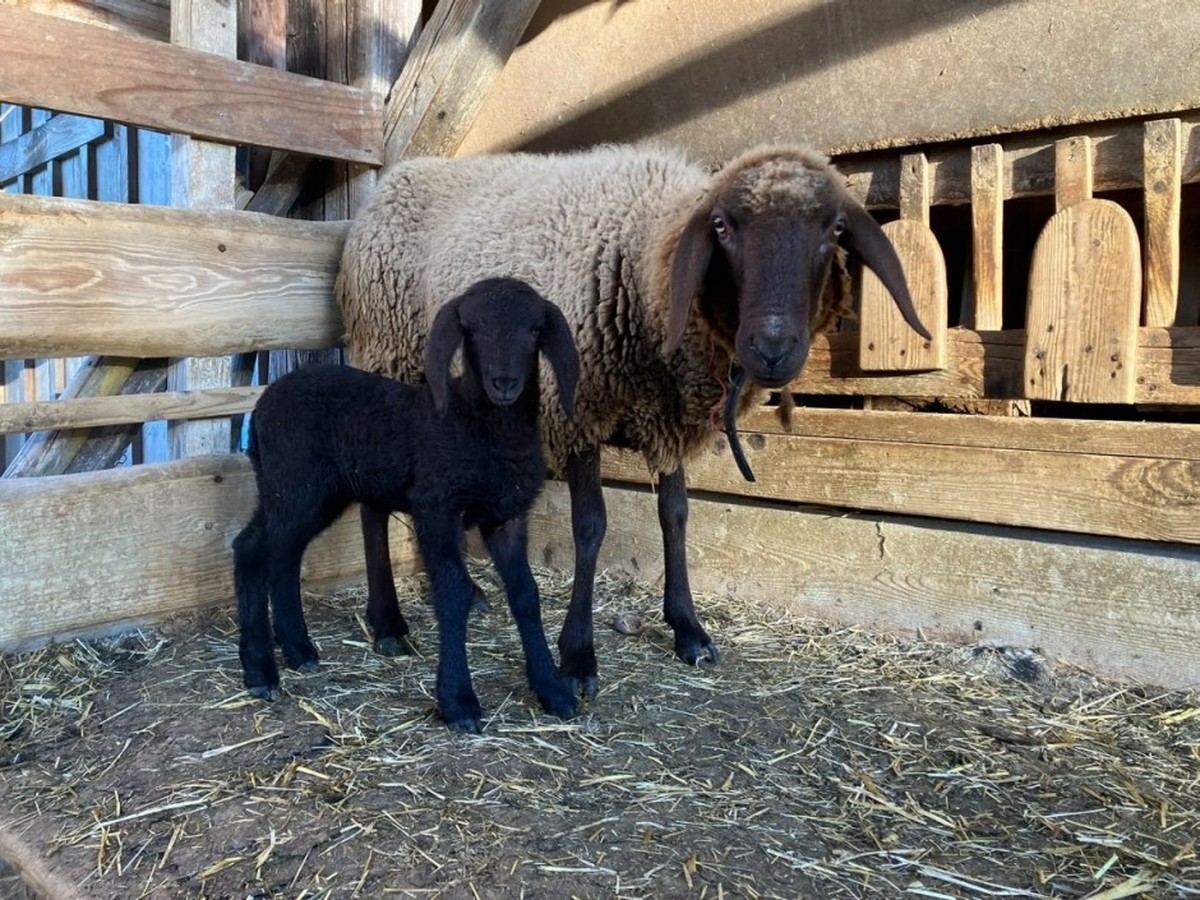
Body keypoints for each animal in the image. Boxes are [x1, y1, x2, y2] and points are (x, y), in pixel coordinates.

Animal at [233, 277, 581, 732]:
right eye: (472, 330)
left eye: (535, 329)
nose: (504, 382)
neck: (481, 427)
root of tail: (260, 406)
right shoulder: (436, 506)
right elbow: (452, 592)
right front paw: (458, 701)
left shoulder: (507, 517)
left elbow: (526, 594)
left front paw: (553, 690)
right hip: (293, 483)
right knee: (253, 550)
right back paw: (259, 669)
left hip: (309, 493)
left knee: (281, 553)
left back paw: (298, 649)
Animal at [336, 143, 931, 701]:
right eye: (722, 226)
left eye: (834, 229)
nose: (773, 348)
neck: (644, 261)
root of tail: (396, 179)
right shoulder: (577, 410)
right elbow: (590, 526)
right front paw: (577, 657)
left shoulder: (666, 420)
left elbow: (676, 515)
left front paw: (688, 629)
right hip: (387, 355)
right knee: (372, 500)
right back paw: (388, 624)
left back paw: (470, 594)